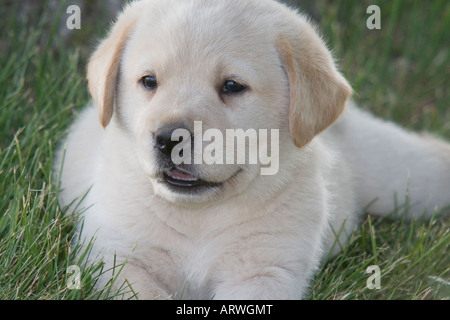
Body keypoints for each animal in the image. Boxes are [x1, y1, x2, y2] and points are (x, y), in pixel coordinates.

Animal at [56, 0, 450, 300]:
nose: (169, 139)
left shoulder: (265, 272)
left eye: (232, 86)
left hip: (402, 178)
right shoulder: (116, 257)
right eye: (149, 81)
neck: (199, 215)